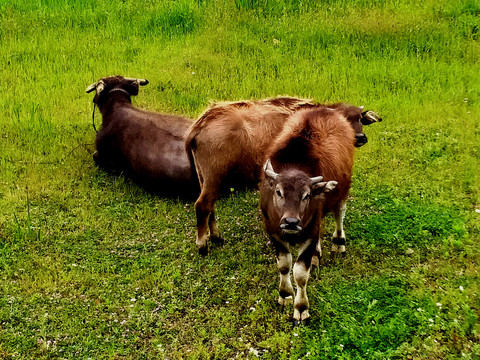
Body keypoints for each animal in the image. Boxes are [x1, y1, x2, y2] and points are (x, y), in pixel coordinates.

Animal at [186, 95, 380, 253]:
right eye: (345, 119)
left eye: (360, 118)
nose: (360, 137)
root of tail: (202, 122)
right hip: (215, 176)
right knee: (202, 205)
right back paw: (202, 245)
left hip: (204, 178)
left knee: (210, 206)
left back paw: (216, 236)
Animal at [260, 106, 354, 324]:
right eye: (279, 191)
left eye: (306, 195)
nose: (291, 222)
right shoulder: (274, 232)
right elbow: (284, 265)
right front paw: (285, 295)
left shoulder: (310, 233)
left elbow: (301, 273)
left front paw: (301, 309)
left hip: (343, 191)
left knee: (339, 213)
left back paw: (338, 242)